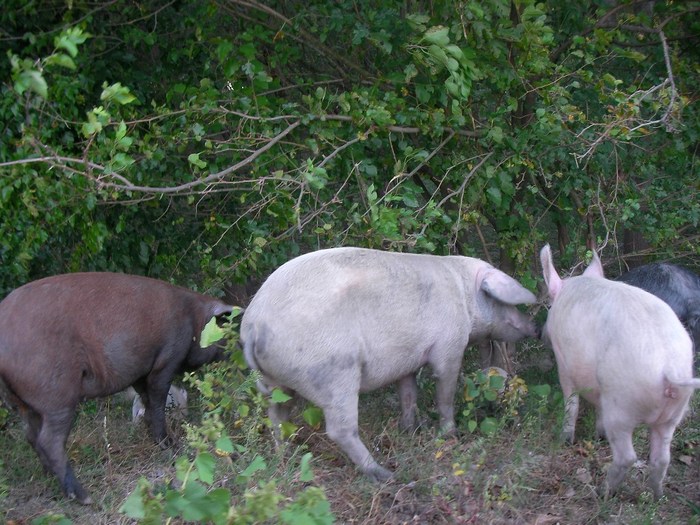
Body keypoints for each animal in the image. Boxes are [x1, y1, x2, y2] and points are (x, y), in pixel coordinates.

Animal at [0, 270, 235, 504]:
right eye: (224, 330)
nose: (236, 352)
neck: (194, 320)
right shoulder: (167, 360)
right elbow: (158, 399)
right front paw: (170, 445)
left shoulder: (141, 371)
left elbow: (146, 399)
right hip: (56, 394)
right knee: (49, 441)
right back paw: (85, 497)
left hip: (23, 403)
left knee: (31, 435)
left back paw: (49, 475)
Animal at [238, 246, 540, 478]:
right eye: (507, 302)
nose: (534, 328)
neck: (464, 295)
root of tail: (255, 325)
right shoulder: (449, 347)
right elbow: (445, 391)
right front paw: (450, 435)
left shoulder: (407, 361)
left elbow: (408, 392)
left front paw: (411, 430)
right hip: (334, 372)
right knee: (339, 429)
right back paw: (383, 474)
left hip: (273, 381)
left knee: (277, 416)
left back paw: (283, 456)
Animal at [540, 244, 700, 498]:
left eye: (548, 306)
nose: (540, 333)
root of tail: (669, 368)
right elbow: (596, 407)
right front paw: (598, 435)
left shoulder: (564, 363)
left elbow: (571, 402)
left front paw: (565, 439)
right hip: (675, 412)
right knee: (662, 458)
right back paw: (656, 496)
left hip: (621, 405)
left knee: (627, 457)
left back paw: (602, 492)